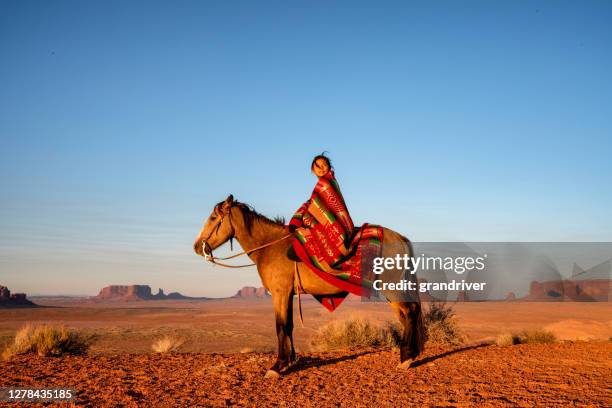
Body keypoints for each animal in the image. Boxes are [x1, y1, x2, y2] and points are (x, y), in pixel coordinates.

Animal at [194, 196, 424, 378]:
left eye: (213, 218)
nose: (197, 247)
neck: (270, 246)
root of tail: (401, 238)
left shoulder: (279, 293)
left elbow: (280, 326)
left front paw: (277, 367)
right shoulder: (288, 294)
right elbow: (289, 325)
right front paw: (290, 360)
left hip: (391, 287)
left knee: (410, 312)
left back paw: (406, 359)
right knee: (405, 315)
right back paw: (410, 355)